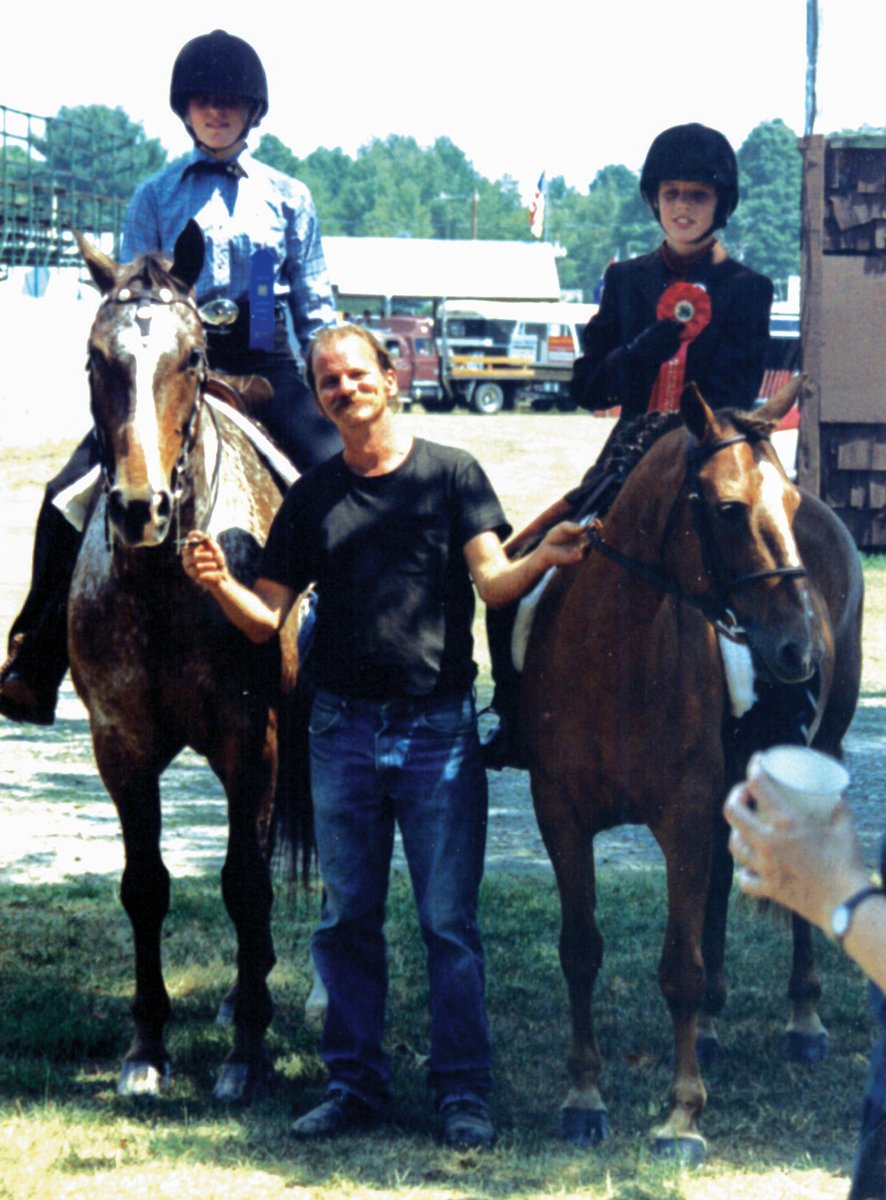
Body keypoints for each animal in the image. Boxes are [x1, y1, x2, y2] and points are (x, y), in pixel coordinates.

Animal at [67, 220, 304, 1099]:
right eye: (96, 359)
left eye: (191, 357)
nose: (141, 508)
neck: (166, 587)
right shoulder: (120, 744)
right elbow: (145, 886)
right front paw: (146, 1049)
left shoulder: (252, 739)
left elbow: (245, 882)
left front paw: (247, 1052)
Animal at [521, 379, 859, 1156]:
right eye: (729, 508)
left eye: (787, 502)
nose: (799, 650)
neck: (610, 655)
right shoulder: (560, 813)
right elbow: (580, 949)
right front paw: (583, 1096)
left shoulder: (680, 812)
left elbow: (680, 963)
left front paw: (681, 1115)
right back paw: (707, 1028)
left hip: (815, 759)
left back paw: (804, 1019)